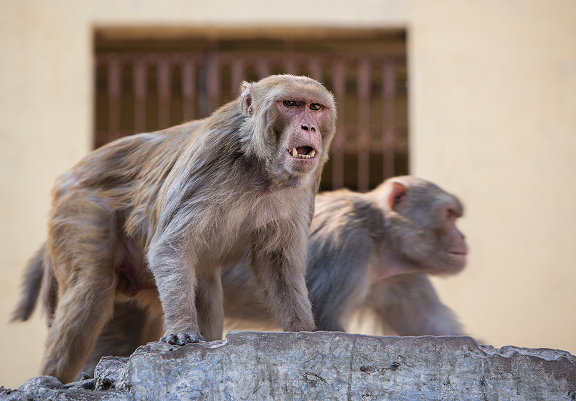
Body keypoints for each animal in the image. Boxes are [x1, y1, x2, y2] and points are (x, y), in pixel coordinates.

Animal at [11, 73, 338, 382]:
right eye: (291, 104)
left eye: (315, 107)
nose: (308, 127)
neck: (260, 167)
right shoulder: (209, 161)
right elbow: (171, 247)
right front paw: (182, 329)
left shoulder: (302, 187)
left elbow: (275, 263)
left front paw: (303, 330)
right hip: (77, 209)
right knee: (90, 289)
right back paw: (51, 379)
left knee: (203, 285)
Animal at [13, 175, 466, 378]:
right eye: (449, 215)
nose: (464, 238)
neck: (379, 236)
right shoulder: (347, 248)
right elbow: (326, 324)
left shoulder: (402, 276)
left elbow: (430, 325)